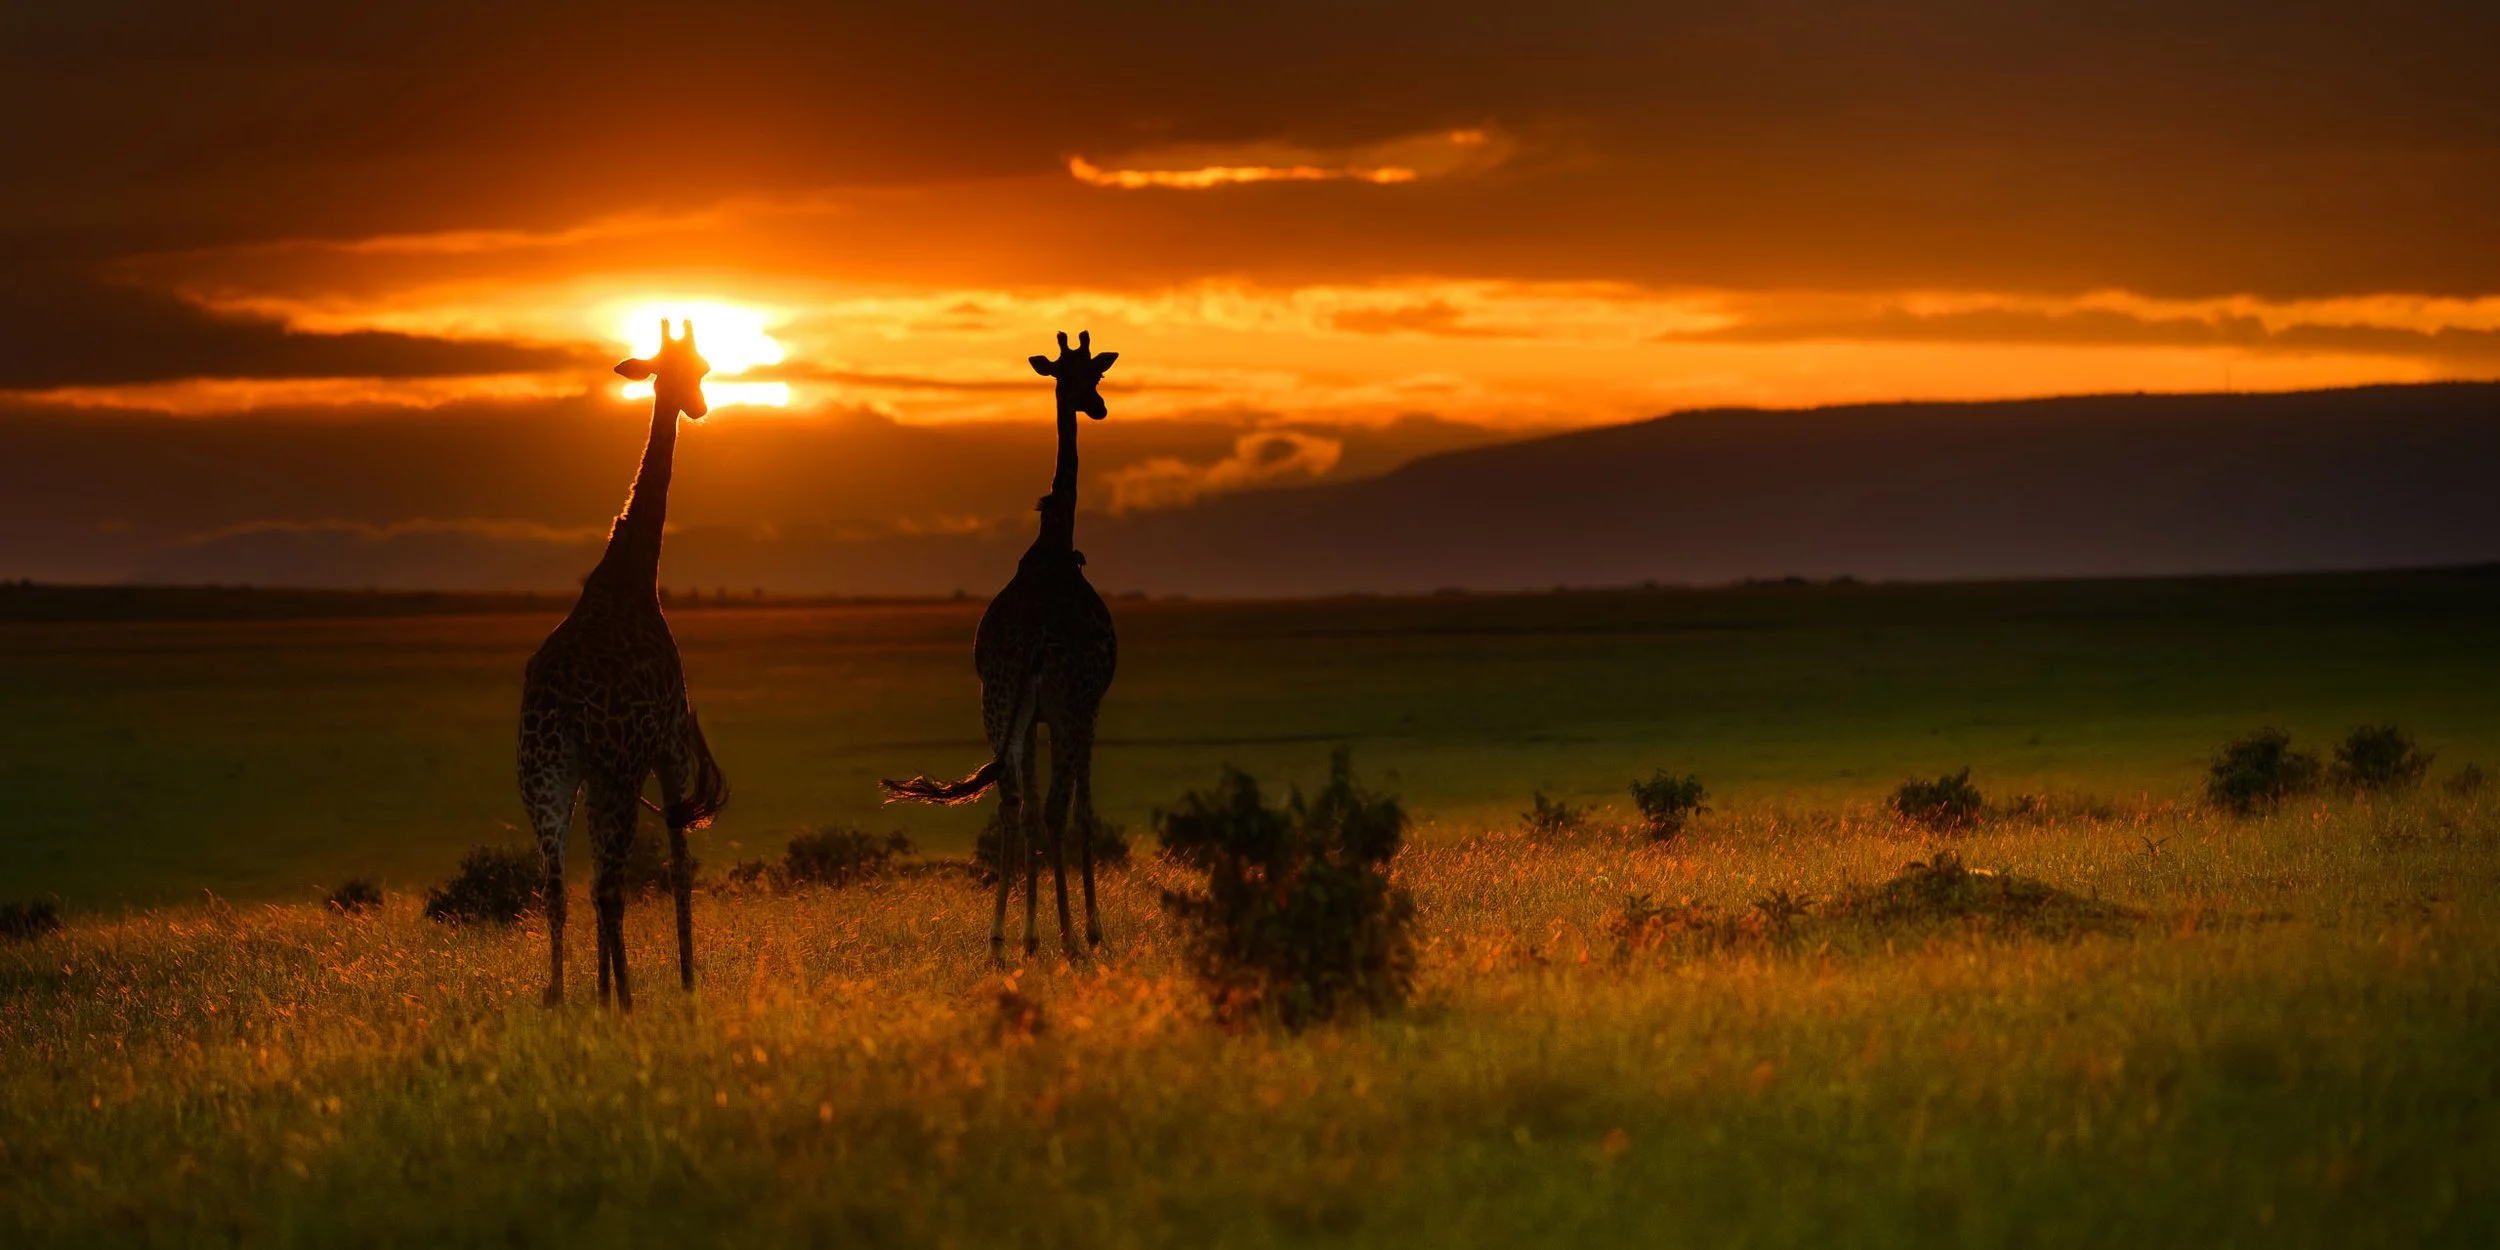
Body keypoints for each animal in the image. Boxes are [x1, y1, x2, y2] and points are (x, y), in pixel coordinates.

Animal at [516, 319, 729, 1009]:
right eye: (699, 366)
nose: (700, 406)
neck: (633, 577)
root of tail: (559, 704)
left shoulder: (594, 771)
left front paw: (602, 994)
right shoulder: (668, 747)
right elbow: (681, 867)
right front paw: (687, 986)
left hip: (546, 772)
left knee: (558, 888)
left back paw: (562, 999)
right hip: (615, 766)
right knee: (608, 887)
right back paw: (628, 1005)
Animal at [883, 331, 1120, 960]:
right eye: (1083, 377)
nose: (1098, 407)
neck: (1056, 543)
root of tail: (1035, 642)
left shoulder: (1030, 713)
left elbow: (1030, 808)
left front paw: (1030, 930)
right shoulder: (1086, 706)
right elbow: (1082, 808)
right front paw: (1088, 929)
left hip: (996, 704)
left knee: (1013, 804)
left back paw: (1001, 939)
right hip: (1064, 704)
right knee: (1055, 806)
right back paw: (1068, 936)